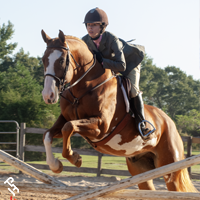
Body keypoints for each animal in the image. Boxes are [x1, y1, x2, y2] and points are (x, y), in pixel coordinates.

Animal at [40, 29, 197, 192]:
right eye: (43, 60)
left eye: (61, 61)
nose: (48, 95)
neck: (83, 89)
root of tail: (169, 122)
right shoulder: (66, 119)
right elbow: (48, 134)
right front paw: (55, 165)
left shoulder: (100, 126)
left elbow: (69, 127)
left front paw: (75, 158)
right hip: (139, 166)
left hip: (170, 166)